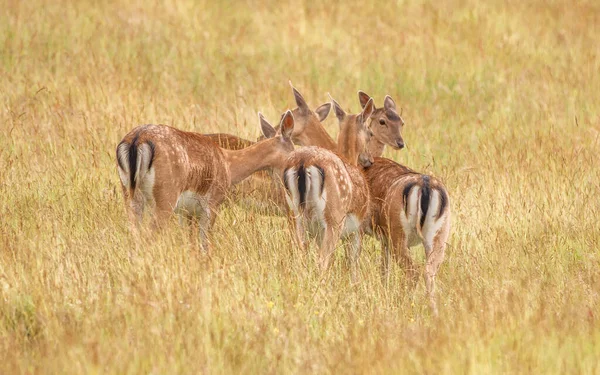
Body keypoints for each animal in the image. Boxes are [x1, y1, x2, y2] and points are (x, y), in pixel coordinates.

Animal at [115, 111, 296, 253]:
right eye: (293, 151)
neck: (229, 165)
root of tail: (137, 140)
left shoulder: (186, 210)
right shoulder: (211, 204)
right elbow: (205, 245)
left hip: (130, 196)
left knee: (134, 235)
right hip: (165, 197)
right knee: (148, 236)